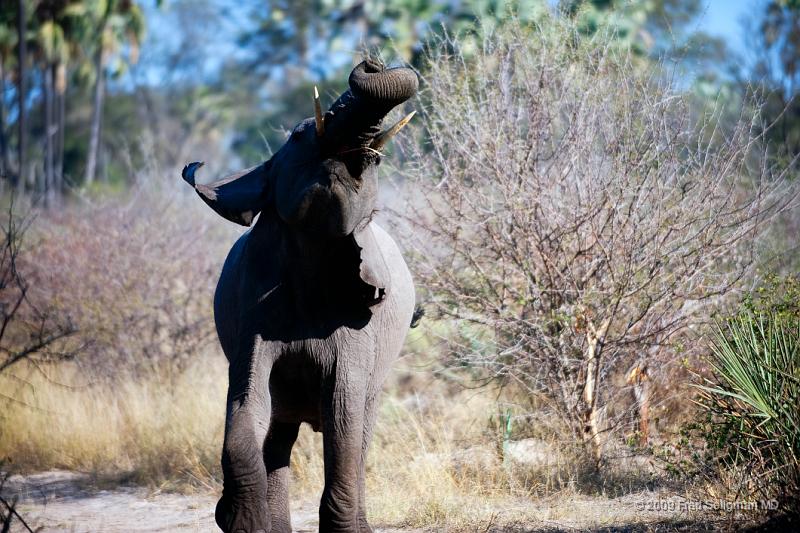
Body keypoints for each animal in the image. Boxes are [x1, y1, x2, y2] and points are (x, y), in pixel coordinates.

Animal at [180, 56, 418, 528]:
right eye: (296, 136)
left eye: (377, 161)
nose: (373, 61)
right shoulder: (252, 316)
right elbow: (245, 406)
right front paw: (236, 520)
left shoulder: (358, 325)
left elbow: (344, 419)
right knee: (277, 435)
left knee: (359, 436)